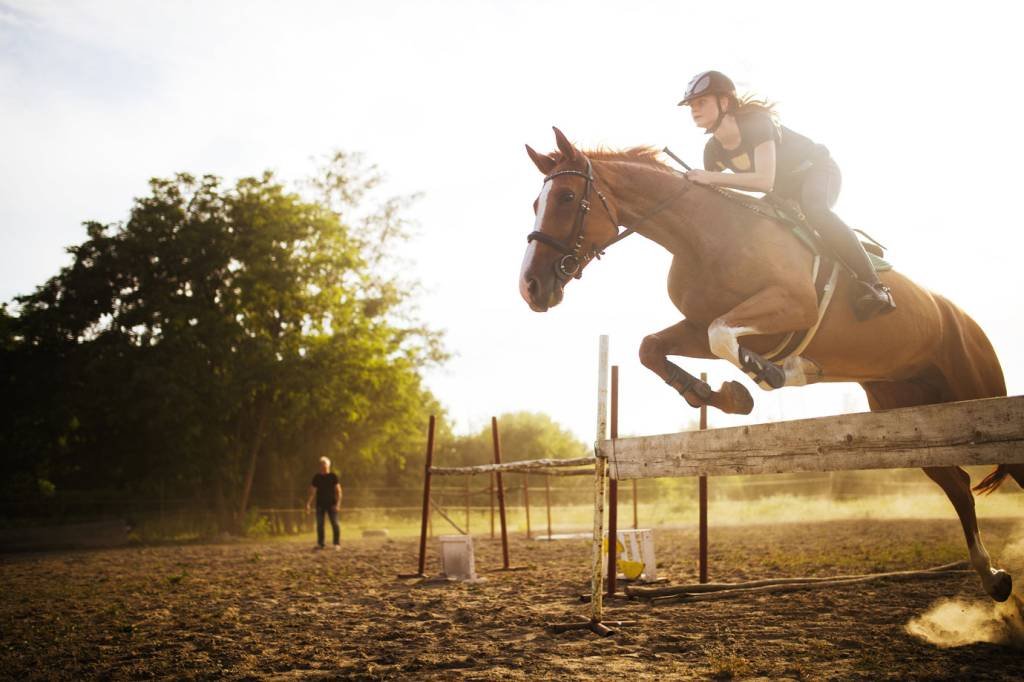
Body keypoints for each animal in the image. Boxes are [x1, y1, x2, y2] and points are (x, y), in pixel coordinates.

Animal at [520, 125, 1024, 602]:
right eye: (536, 202)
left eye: (566, 198)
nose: (531, 287)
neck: (702, 234)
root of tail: (962, 318)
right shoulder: (706, 326)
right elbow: (655, 347)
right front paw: (717, 395)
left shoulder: (789, 306)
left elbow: (723, 335)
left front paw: (776, 373)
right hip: (901, 407)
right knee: (957, 483)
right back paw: (993, 577)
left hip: (978, 393)